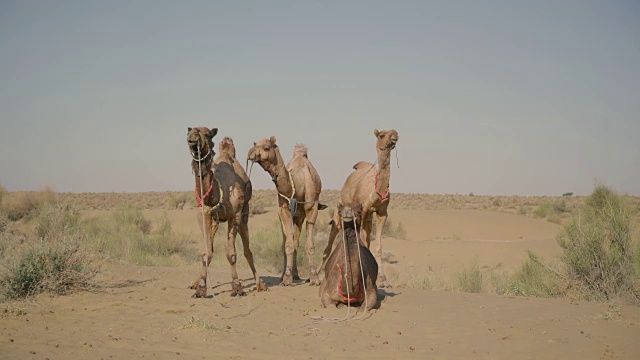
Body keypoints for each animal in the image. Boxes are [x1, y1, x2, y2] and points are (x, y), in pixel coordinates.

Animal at [186, 127, 266, 298]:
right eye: (189, 131)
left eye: (207, 134)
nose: (193, 136)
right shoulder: (202, 214)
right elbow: (206, 252)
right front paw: (200, 288)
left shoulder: (234, 216)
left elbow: (232, 254)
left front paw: (237, 287)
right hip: (216, 222)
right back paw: (195, 282)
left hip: (244, 215)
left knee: (248, 251)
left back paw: (260, 284)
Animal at [245, 136, 324, 286]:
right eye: (255, 144)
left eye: (266, 147)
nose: (250, 152)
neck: (298, 183)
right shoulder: (284, 210)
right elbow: (287, 245)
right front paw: (287, 277)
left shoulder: (312, 208)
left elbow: (309, 245)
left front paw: (314, 277)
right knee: (287, 242)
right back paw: (285, 275)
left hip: (299, 217)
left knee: (296, 242)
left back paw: (296, 274)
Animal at [318, 128, 398, 288]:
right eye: (382, 135)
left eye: (394, 132)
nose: (395, 135)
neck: (375, 191)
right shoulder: (364, 211)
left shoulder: (381, 213)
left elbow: (378, 246)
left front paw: (383, 281)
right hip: (339, 214)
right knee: (328, 246)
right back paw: (315, 277)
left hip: (367, 219)